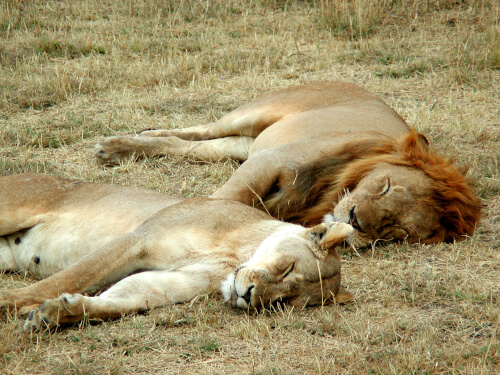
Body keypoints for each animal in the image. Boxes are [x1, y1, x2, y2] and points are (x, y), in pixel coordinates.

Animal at [0, 173, 354, 328]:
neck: (234, 256)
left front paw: (57, 313)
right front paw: (12, 302)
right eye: (287, 268)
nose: (248, 296)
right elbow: (69, 278)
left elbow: (124, 299)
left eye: (281, 303)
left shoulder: (177, 281)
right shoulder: (137, 239)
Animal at [94, 81, 480, 248]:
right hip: (254, 115)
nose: (356, 220)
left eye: (396, 230)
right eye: (385, 186)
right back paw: (118, 145)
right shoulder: (270, 161)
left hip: (243, 144)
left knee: (193, 146)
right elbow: (226, 199)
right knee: (199, 129)